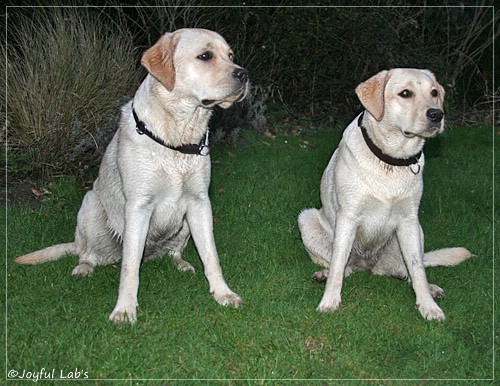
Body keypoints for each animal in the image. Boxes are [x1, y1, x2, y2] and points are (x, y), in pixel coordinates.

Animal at [14, 27, 249, 322]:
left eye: (230, 55)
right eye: (205, 56)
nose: (244, 74)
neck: (177, 138)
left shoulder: (199, 202)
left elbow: (211, 256)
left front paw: (222, 293)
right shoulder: (138, 206)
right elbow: (129, 268)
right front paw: (125, 308)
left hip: (183, 224)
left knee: (172, 252)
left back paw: (181, 264)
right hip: (90, 205)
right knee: (88, 253)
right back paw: (83, 268)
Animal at [298, 68, 470, 320]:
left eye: (434, 93)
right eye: (405, 93)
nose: (437, 114)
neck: (391, 159)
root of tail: (369, 264)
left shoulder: (408, 220)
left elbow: (418, 270)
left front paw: (428, 306)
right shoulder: (348, 217)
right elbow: (338, 266)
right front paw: (329, 301)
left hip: (417, 231)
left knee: (407, 270)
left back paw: (430, 288)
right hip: (306, 218)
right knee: (345, 267)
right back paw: (324, 274)